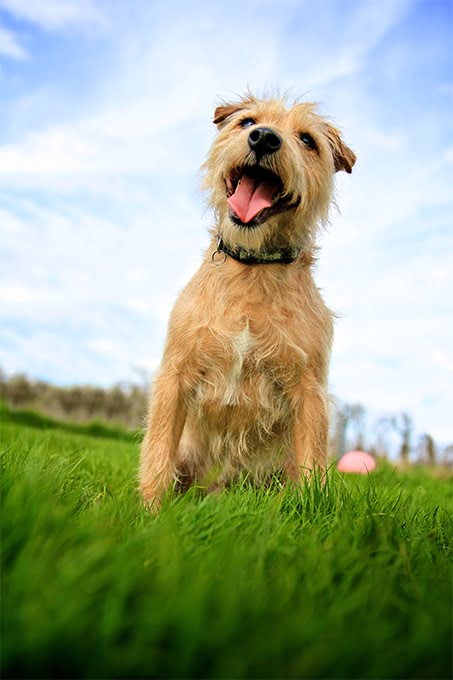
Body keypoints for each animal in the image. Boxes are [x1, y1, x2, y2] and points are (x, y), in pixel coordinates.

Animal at [139, 95, 354, 508]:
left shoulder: (309, 391)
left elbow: (310, 467)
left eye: (307, 140)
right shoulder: (176, 373)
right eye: (247, 122)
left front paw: (306, 511)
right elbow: (158, 449)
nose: (265, 138)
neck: (253, 270)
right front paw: (148, 511)